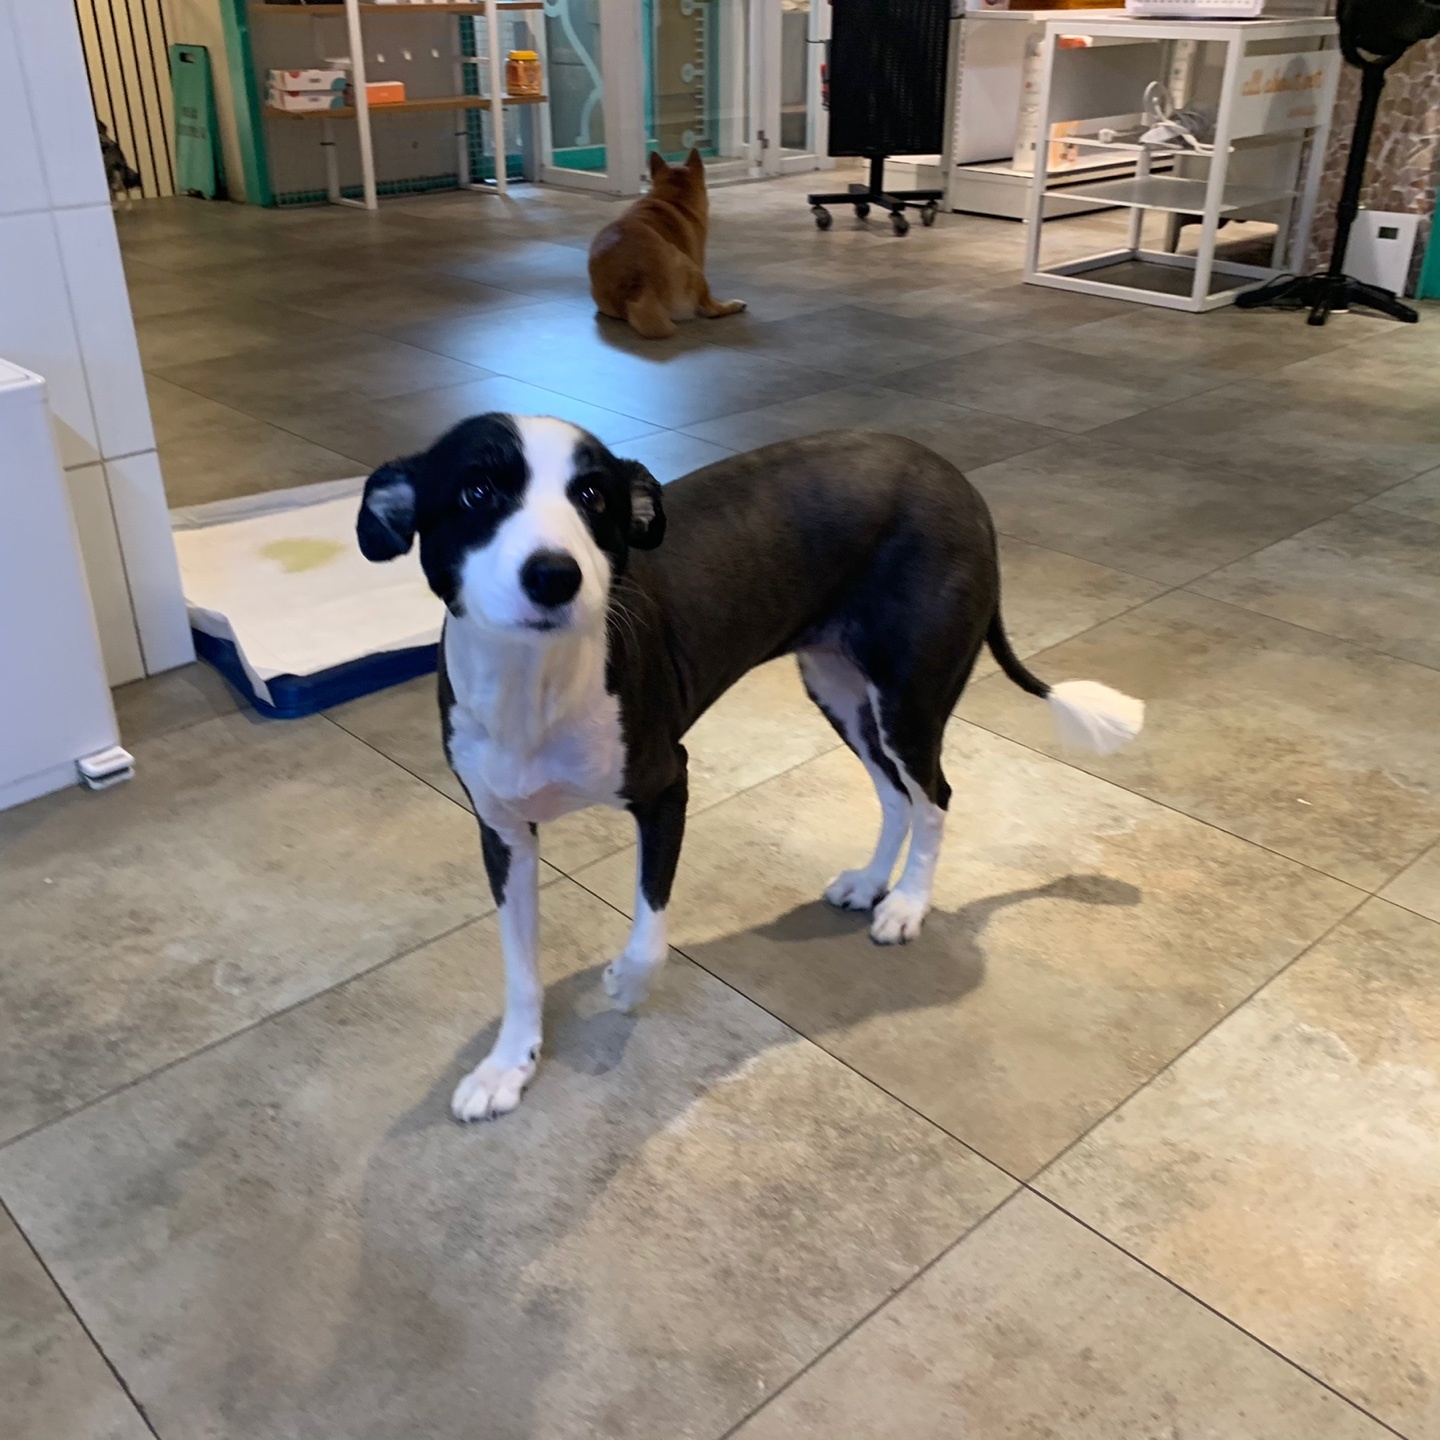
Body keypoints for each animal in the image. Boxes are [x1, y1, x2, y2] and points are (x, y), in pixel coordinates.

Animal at [356, 416, 1144, 1121]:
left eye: (592, 496)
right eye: (476, 490)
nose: (554, 574)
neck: (536, 682)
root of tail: (954, 479)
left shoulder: (666, 788)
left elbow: (650, 930)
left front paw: (626, 987)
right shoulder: (503, 833)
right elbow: (520, 972)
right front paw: (506, 1068)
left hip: (908, 697)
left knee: (934, 796)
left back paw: (908, 903)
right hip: (838, 685)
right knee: (895, 795)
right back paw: (870, 882)